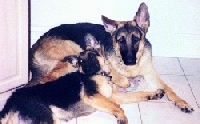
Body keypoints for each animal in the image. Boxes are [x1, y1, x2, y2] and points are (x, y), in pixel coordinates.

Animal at [0, 49, 128, 124]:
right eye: (81, 61)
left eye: (92, 57)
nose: (86, 69)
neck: (99, 75)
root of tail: (11, 100)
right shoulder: (92, 96)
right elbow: (117, 107)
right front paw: (122, 118)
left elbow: (115, 104)